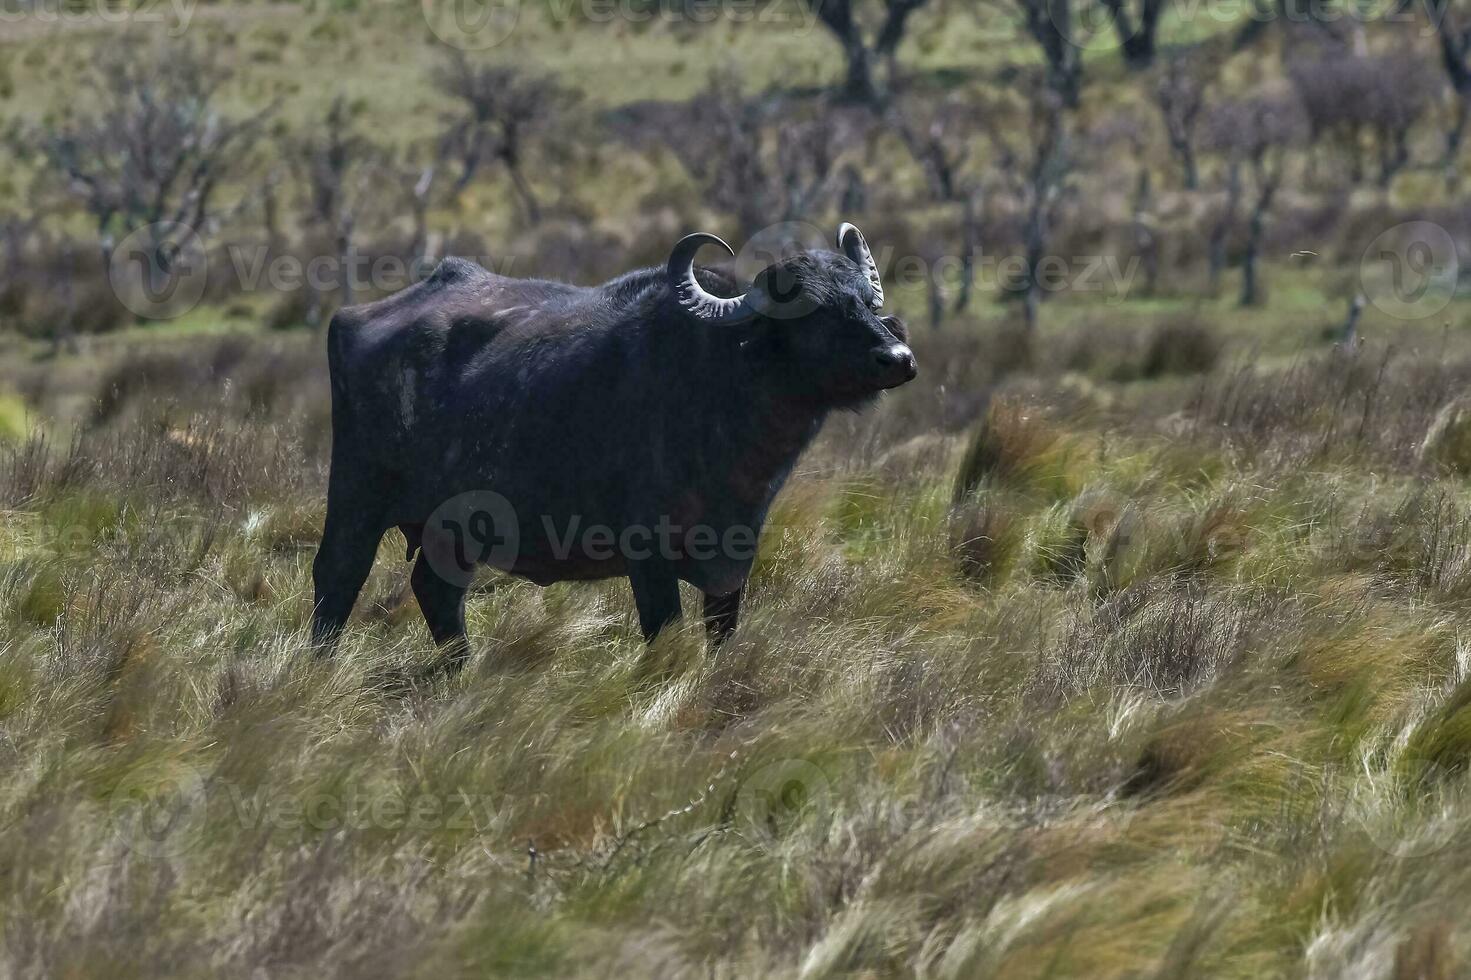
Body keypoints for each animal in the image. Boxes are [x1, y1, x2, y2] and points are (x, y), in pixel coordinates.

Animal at [310, 223, 912, 665]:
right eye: (810, 310)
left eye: (864, 300)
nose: (898, 359)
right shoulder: (648, 557)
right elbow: (664, 637)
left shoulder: (732, 560)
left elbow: (721, 638)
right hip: (356, 499)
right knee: (337, 579)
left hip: (449, 527)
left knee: (437, 591)